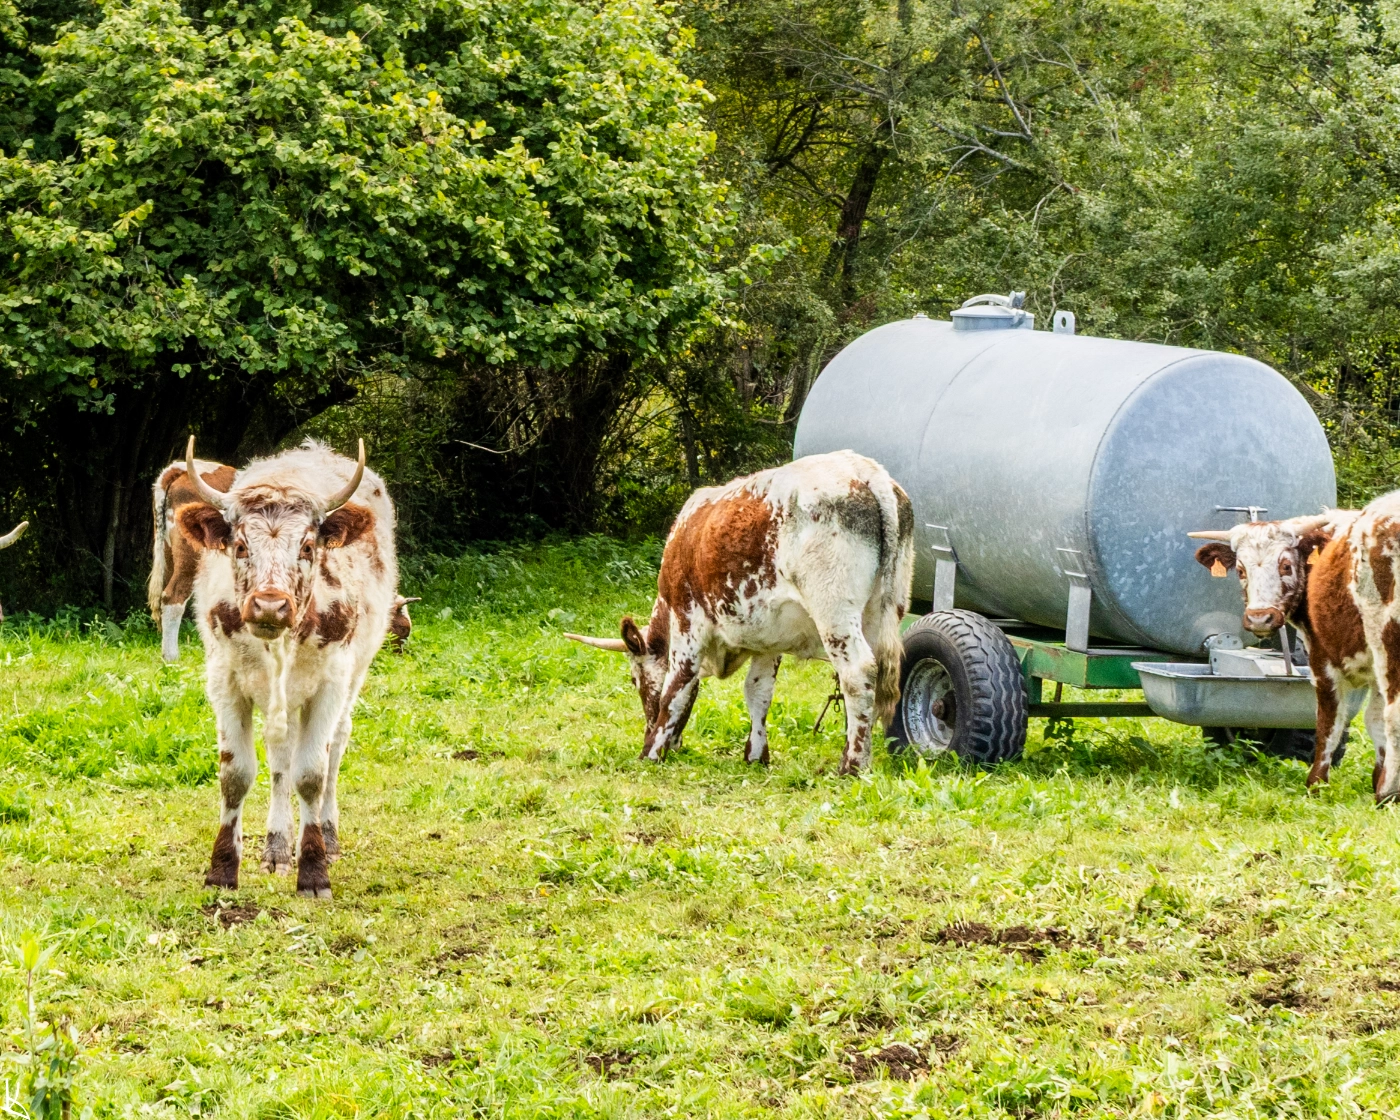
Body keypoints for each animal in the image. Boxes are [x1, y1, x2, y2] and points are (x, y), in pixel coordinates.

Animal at [177, 436, 398, 898]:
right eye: (241, 546)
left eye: (308, 547)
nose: (269, 605)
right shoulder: (226, 682)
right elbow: (237, 774)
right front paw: (223, 869)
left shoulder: (330, 682)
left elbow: (312, 773)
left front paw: (313, 870)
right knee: (281, 756)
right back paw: (278, 847)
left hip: (353, 675)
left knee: (335, 746)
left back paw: (328, 838)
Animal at [566, 451, 914, 775]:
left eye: (633, 679)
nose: (650, 730)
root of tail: (865, 471)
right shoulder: (769, 639)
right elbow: (757, 692)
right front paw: (756, 755)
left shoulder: (687, 619)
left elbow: (677, 687)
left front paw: (651, 752)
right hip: (884, 610)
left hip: (834, 609)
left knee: (857, 671)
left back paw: (853, 765)